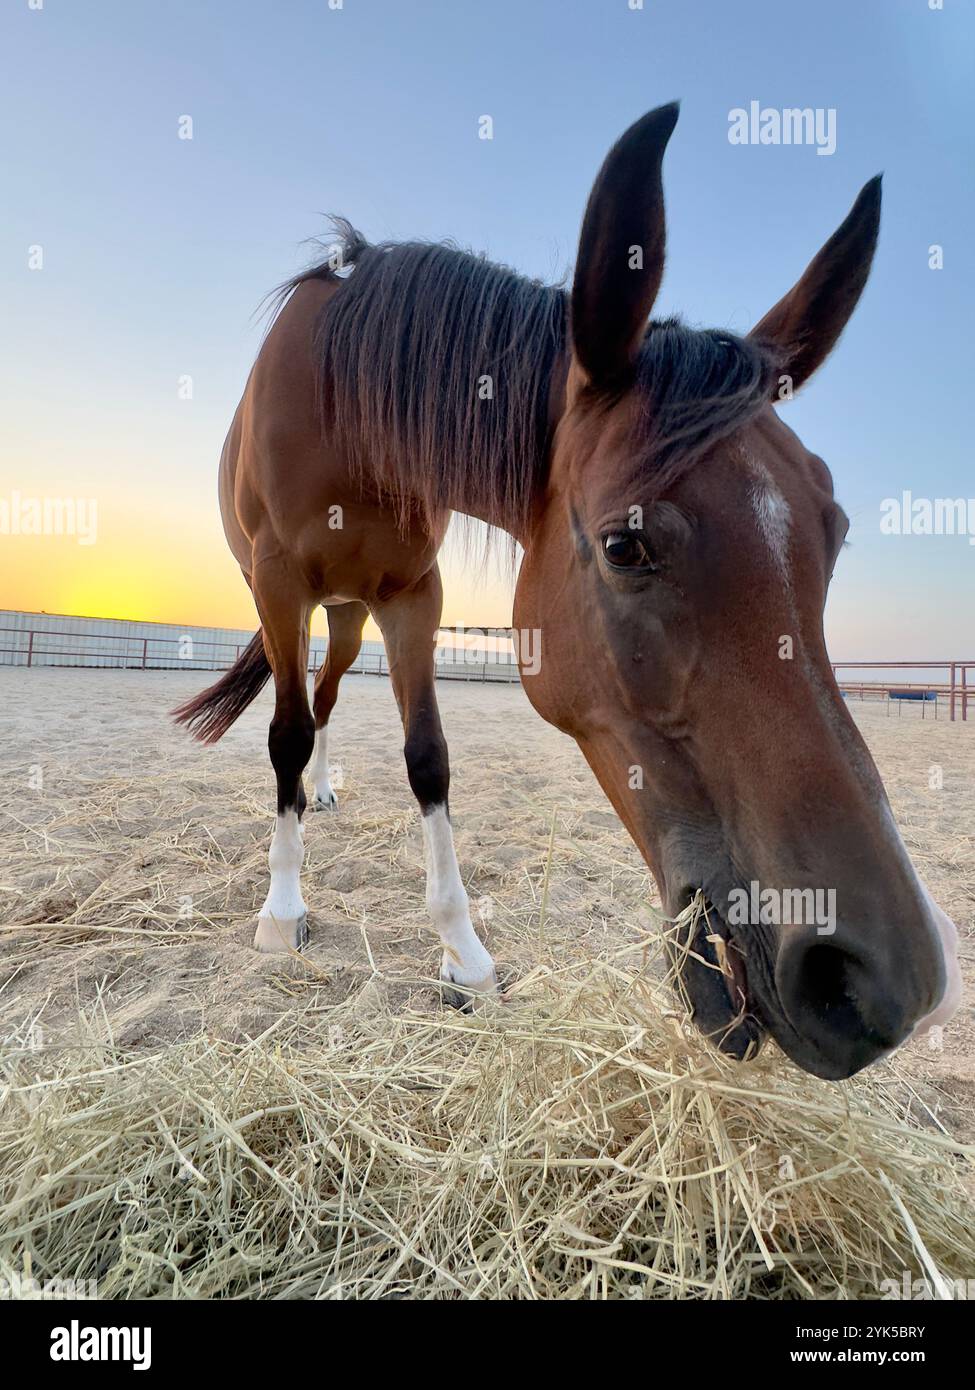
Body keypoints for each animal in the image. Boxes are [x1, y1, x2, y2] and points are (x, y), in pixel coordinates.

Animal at [174, 104, 960, 1080]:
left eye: (835, 532)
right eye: (624, 546)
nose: (887, 985)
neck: (340, 403)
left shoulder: (413, 598)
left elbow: (426, 758)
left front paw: (463, 954)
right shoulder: (282, 587)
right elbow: (282, 736)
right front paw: (282, 914)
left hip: (351, 614)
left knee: (322, 698)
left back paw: (322, 793)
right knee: (300, 712)